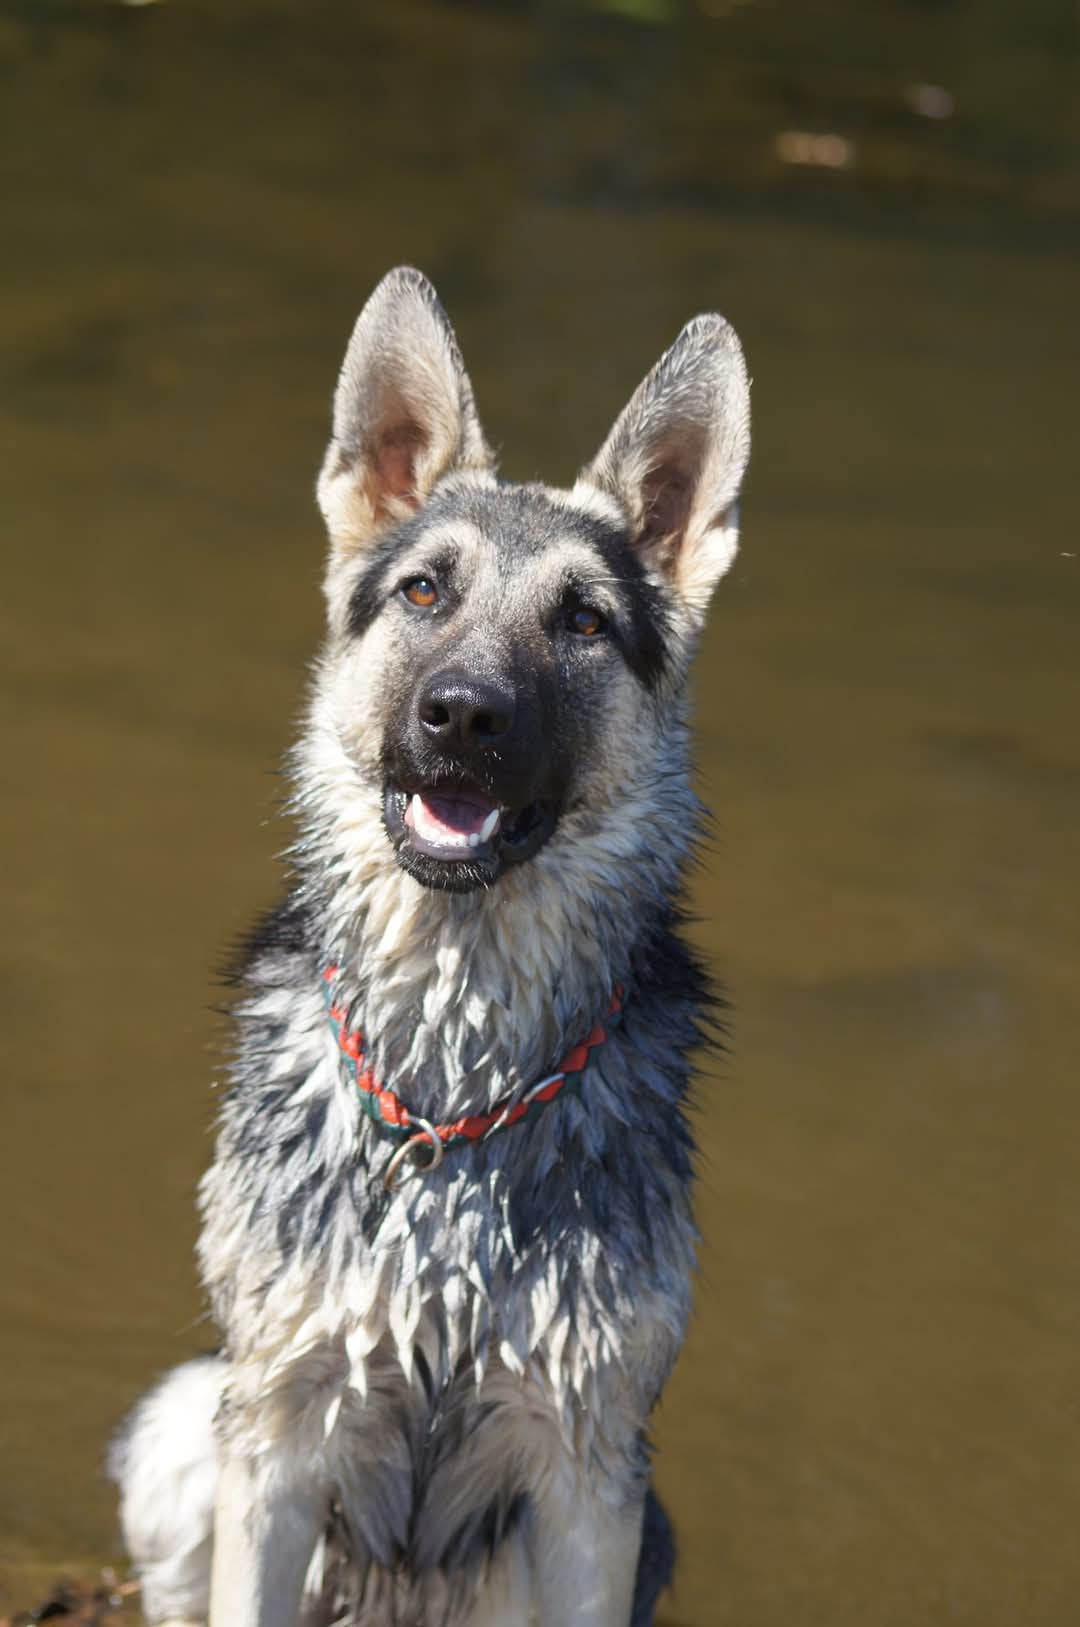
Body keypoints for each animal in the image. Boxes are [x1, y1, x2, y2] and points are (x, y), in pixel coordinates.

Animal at [109, 266, 751, 1627]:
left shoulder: (589, 1472)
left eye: (584, 621)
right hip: (186, 1427)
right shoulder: (277, 1436)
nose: (462, 714)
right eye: (422, 592)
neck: (458, 1096)